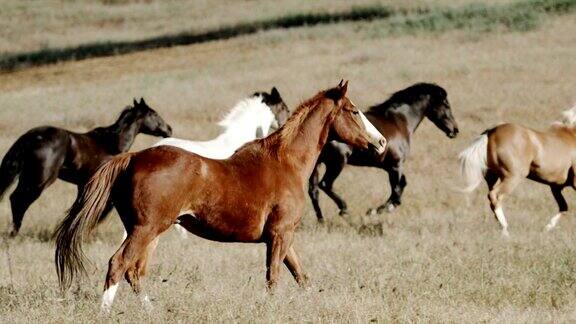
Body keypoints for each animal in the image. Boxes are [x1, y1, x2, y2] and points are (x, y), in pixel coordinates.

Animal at [0, 97, 172, 235]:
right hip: (40, 180)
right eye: (153, 114)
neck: (112, 144)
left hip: (29, 177)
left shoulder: (83, 184)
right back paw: (14, 233)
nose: (169, 129)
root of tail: (30, 137)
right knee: (18, 200)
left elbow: (79, 208)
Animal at [55, 80, 388, 312]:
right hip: (145, 230)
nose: (382, 142)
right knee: (118, 264)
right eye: (354, 111)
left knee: (134, 271)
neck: (286, 162)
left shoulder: (285, 237)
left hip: (151, 232)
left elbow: (300, 276)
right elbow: (274, 277)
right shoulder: (280, 235)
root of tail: (133, 157)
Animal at [308, 82, 462, 221]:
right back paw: (344, 209)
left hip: (317, 164)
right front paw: (375, 211)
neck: (398, 121)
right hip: (338, 162)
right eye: (446, 105)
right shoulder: (396, 165)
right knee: (325, 184)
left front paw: (379, 209)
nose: (455, 130)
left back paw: (321, 220)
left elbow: (402, 185)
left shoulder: (389, 166)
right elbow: (396, 191)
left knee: (313, 191)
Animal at [460, 105, 576, 237]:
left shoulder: (555, 187)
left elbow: (564, 206)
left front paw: (547, 228)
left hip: (493, 178)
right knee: (495, 195)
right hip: (512, 177)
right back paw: (505, 230)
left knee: (492, 199)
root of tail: (491, 132)